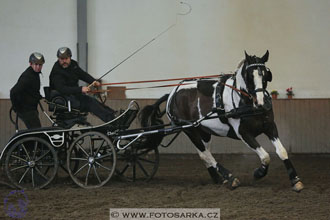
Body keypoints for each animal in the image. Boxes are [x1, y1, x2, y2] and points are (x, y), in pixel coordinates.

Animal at [139, 50, 304, 192]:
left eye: (265, 75)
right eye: (249, 76)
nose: (261, 103)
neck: (246, 103)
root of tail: (172, 93)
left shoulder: (270, 127)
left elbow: (282, 151)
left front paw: (295, 180)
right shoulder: (244, 133)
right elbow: (265, 156)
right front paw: (259, 173)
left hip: (203, 131)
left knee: (204, 154)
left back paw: (219, 179)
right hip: (189, 129)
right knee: (205, 154)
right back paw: (230, 178)